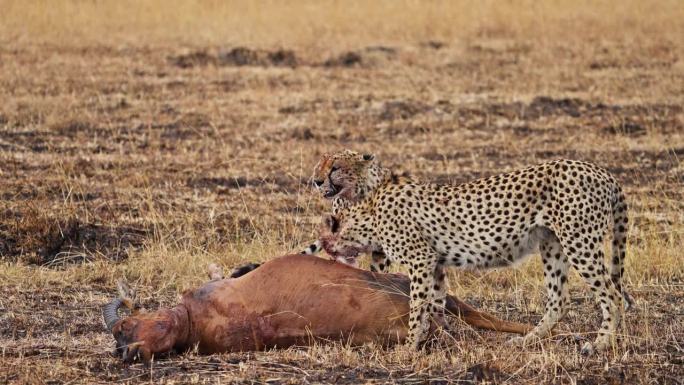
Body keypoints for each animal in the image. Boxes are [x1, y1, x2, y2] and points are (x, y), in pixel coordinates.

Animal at [318, 158, 632, 352]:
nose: (325, 246)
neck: (368, 212)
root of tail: (602, 172)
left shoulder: (421, 259)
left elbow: (418, 306)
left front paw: (409, 347)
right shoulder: (435, 263)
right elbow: (435, 303)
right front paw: (442, 336)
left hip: (579, 242)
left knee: (612, 295)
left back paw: (600, 344)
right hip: (553, 244)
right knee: (559, 299)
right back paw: (528, 340)